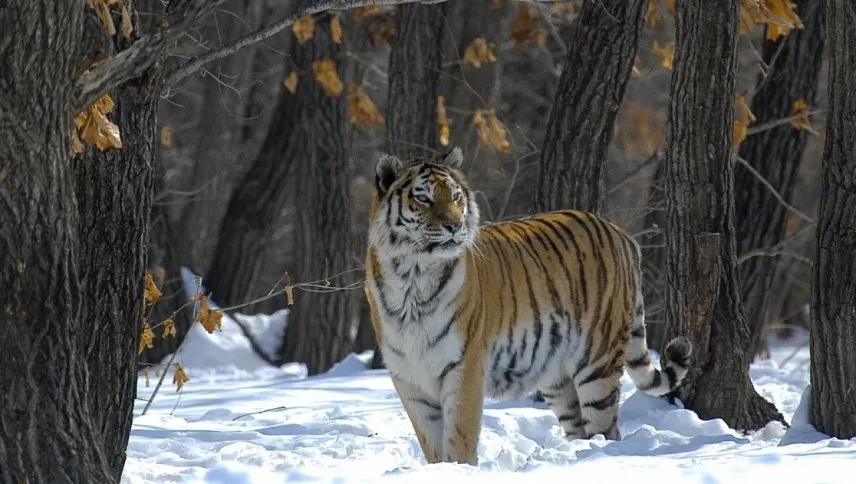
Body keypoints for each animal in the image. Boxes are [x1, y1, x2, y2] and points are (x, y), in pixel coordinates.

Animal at [363, 147, 692, 466]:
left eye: (456, 197)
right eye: (423, 198)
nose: (455, 226)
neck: (412, 277)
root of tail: (621, 234)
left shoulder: (464, 368)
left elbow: (459, 440)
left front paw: (461, 470)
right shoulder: (410, 380)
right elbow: (432, 445)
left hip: (598, 362)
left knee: (606, 428)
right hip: (557, 377)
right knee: (579, 427)